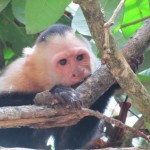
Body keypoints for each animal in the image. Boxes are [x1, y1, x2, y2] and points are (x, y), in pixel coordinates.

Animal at [0, 24, 134, 149]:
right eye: (63, 62)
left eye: (80, 57)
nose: (78, 72)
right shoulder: (17, 74)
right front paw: (58, 92)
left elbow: (66, 144)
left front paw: (115, 81)